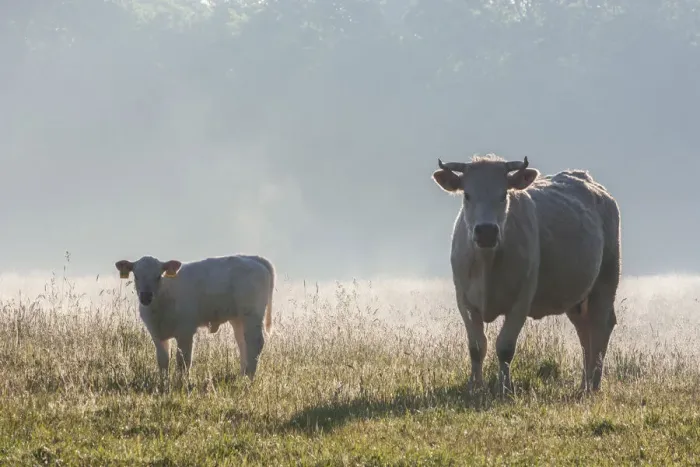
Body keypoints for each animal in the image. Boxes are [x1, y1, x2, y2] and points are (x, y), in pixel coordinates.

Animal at [115, 254, 275, 382]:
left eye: (158, 276)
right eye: (136, 275)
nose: (146, 296)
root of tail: (252, 258)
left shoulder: (186, 331)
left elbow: (183, 360)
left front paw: (182, 382)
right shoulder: (156, 333)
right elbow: (163, 360)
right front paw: (163, 382)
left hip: (252, 315)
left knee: (255, 343)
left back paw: (249, 377)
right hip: (238, 319)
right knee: (243, 343)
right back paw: (243, 375)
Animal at [431, 154, 621, 394]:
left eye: (503, 194)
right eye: (467, 195)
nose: (486, 231)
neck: (487, 264)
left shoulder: (521, 300)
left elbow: (505, 347)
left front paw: (504, 388)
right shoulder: (464, 300)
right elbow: (476, 347)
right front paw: (475, 387)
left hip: (606, 279)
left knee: (601, 326)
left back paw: (593, 385)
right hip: (577, 297)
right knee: (584, 332)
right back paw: (583, 385)